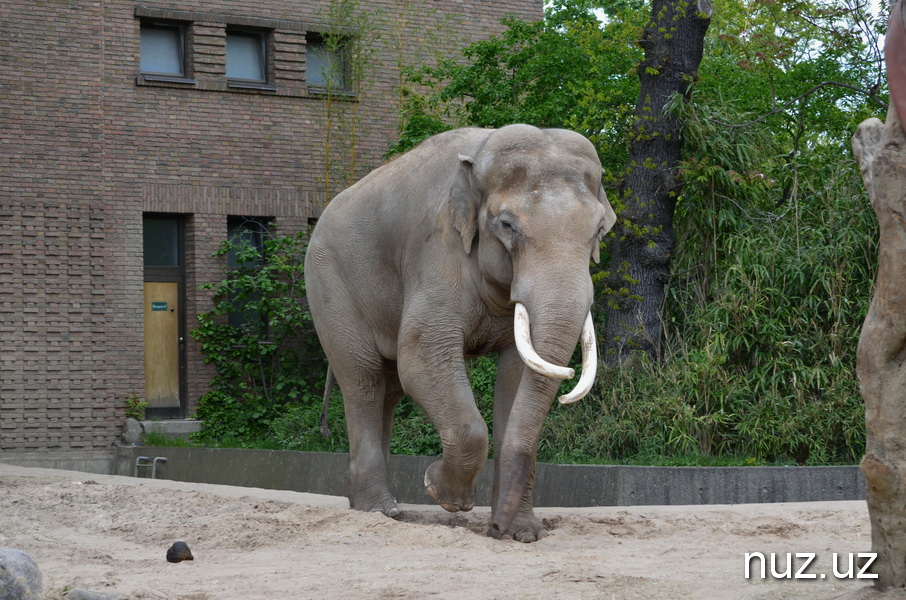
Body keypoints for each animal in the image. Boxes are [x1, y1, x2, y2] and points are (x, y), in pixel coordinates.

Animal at [304, 124, 616, 540]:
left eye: (599, 230)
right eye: (506, 225)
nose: (497, 527)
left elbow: (517, 376)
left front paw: (521, 533)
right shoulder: (438, 251)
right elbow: (421, 356)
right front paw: (444, 494)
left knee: (388, 389)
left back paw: (380, 509)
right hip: (329, 286)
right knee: (363, 380)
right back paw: (378, 511)